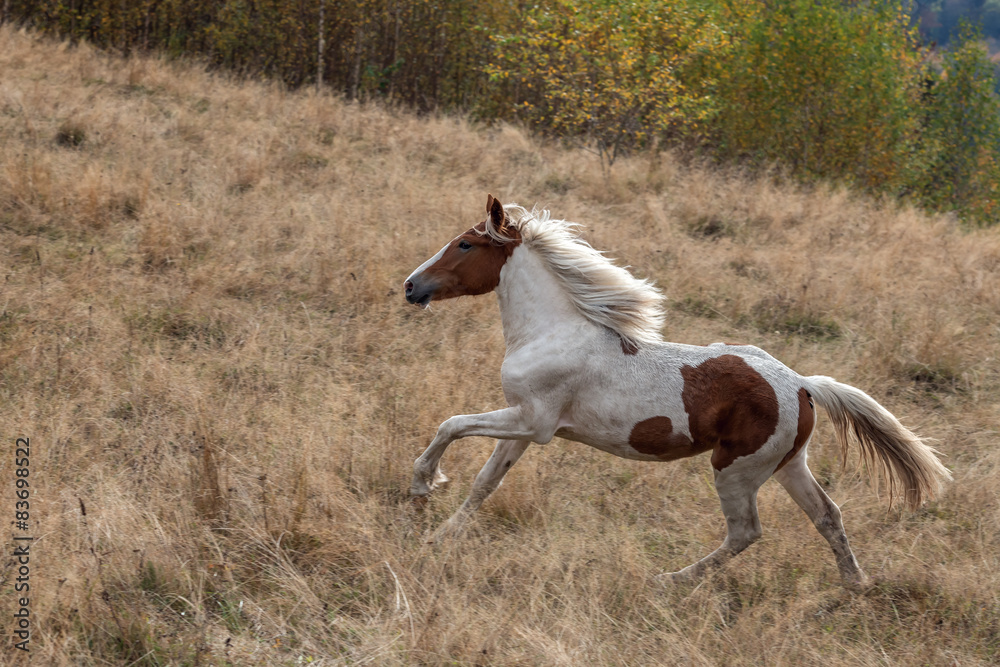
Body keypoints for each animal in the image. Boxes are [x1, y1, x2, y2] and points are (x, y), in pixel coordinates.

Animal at [402, 194, 948, 588]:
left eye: (465, 245)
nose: (411, 286)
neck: (551, 331)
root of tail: (802, 385)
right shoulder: (524, 425)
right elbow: (484, 483)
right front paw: (439, 538)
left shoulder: (531, 421)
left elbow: (450, 425)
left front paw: (422, 486)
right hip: (789, 465)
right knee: (828, 516)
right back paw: (855, 586)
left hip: (736, 469)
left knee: (746, 531)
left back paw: (670, 580)